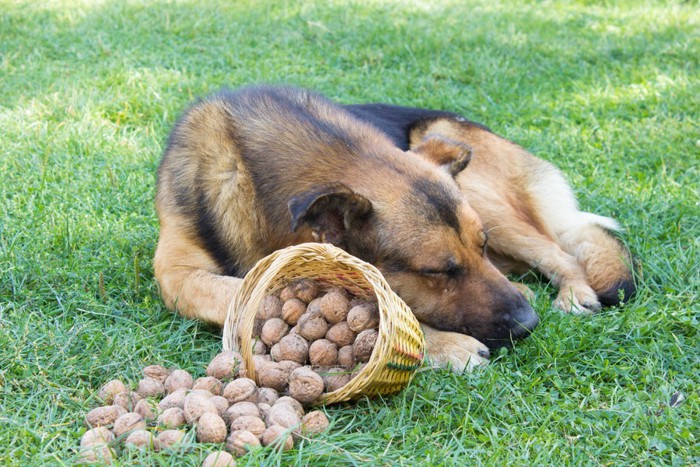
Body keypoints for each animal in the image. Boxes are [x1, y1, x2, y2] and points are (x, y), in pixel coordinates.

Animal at [154, 85, 636, 372]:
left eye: (478, 248)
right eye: (438, 272)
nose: (529, 325)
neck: (258, 181)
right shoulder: (177, 277)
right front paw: (444, 343)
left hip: (486, 198)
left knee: (561, 249)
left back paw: (573, 292)